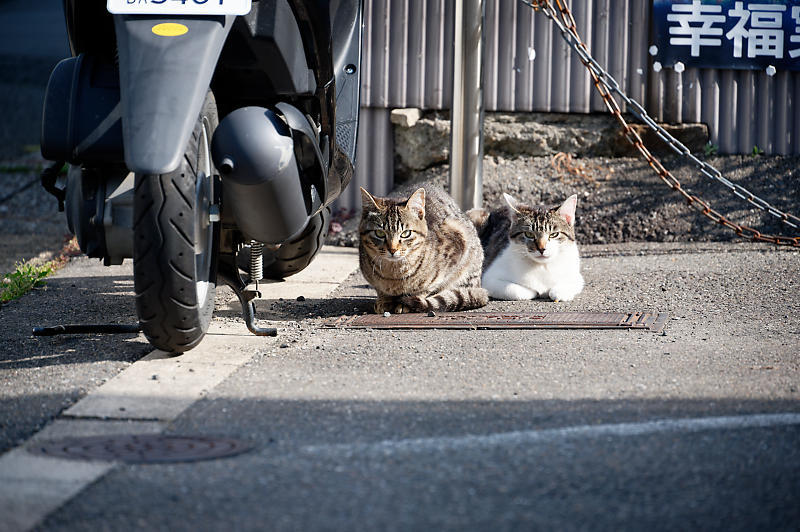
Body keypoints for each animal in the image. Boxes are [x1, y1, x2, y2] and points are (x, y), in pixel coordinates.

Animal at [360, 186, 488, 314]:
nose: (392, 250)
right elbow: (380, 289)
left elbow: (426, 287)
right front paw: (384, 300)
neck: (393, 274)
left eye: (406, 233)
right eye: (379, 233)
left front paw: (406, 301)